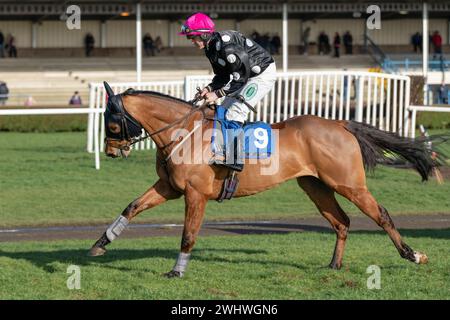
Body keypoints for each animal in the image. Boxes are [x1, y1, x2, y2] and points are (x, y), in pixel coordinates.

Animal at [89, 82, 436, 278]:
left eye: (113, 123)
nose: (109, 151)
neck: (184, 134)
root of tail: (340, 123)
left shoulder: (194, 194)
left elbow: (188, 235)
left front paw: (176, 271)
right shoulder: (169, 188)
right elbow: (132, 206)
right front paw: (99, 244)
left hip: (349, 184)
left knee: (381, 215)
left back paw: (413, 254)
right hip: (315, 186)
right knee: (341, 222)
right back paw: (334, 266)